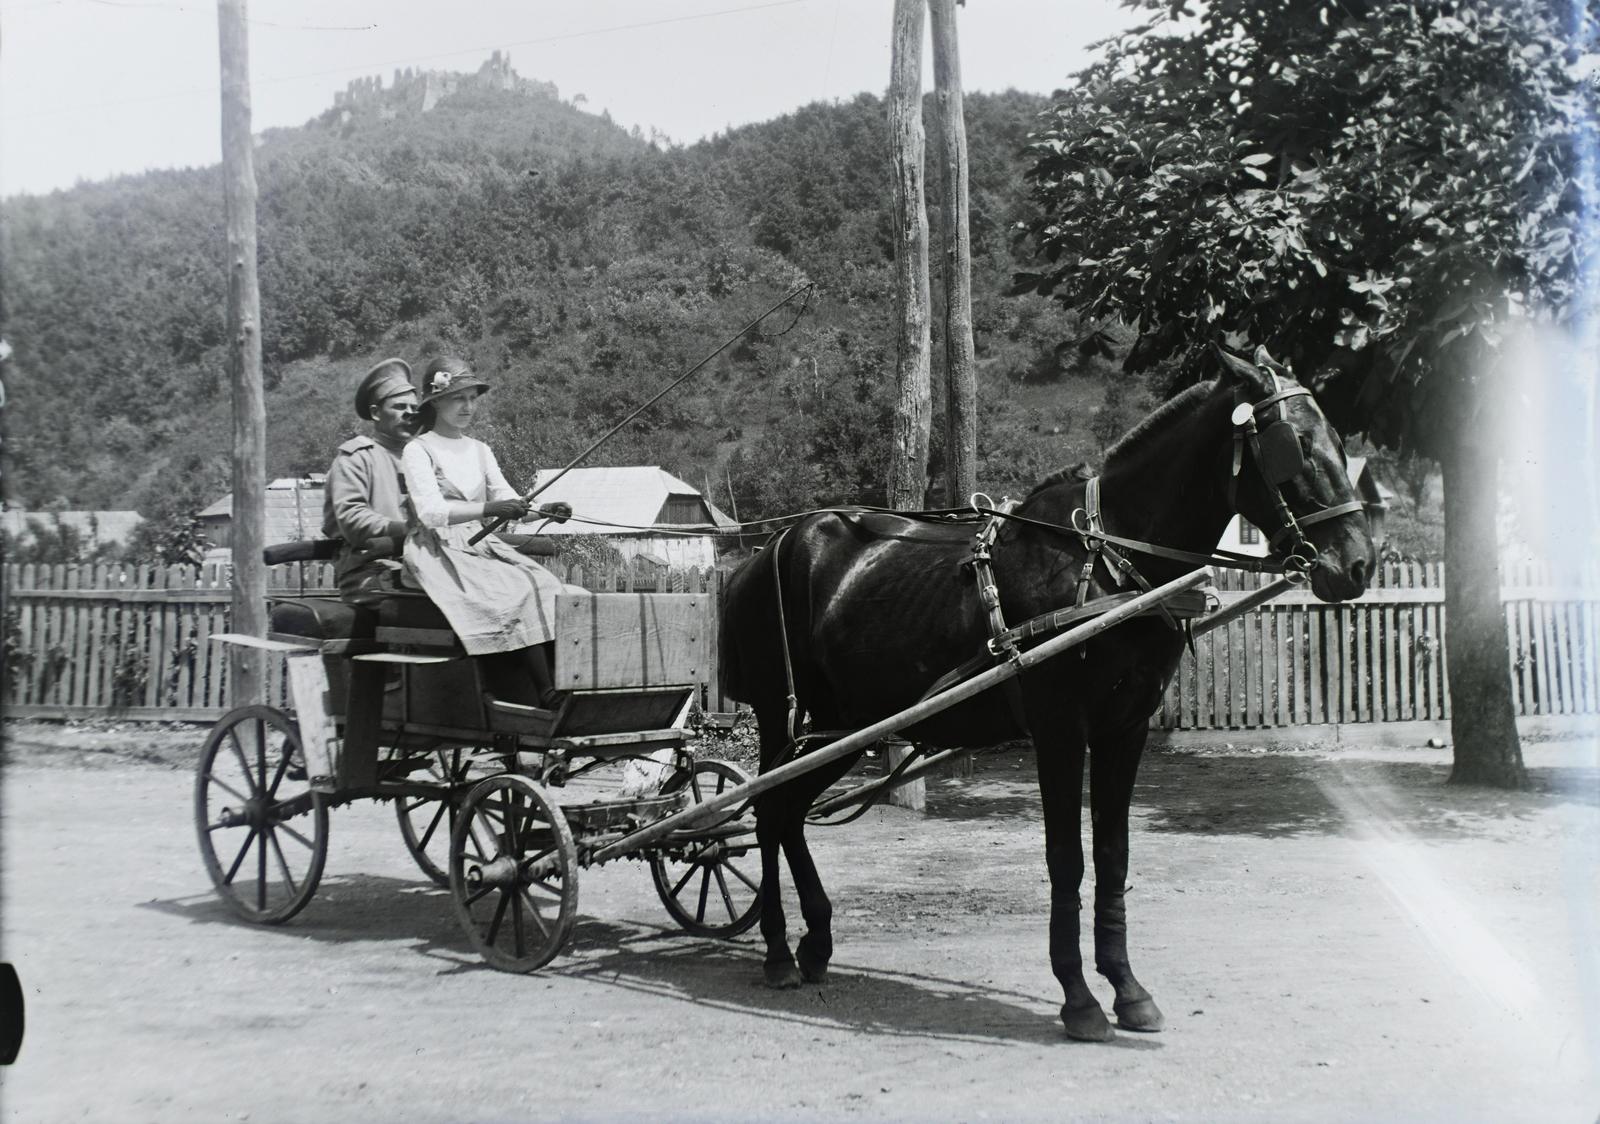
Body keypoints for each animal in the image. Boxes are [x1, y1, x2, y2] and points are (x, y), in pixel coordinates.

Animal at [716, 347, 1376, 1043]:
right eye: (1295, 447)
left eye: (1339, 441)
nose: (1359, 563)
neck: (1109, 562)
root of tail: (770, 548)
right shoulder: (1061, 730)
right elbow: (1067, 859)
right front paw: (1080, 999)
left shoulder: (1124, 730)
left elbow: (1113, 855)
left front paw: (1128, 989)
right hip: (783, 717)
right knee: (768, 812)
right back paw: (779, 951)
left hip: (842, 726)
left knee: (787, 814)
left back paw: (814, 941)